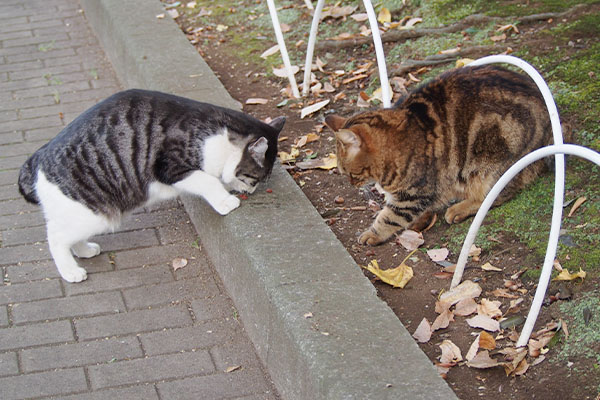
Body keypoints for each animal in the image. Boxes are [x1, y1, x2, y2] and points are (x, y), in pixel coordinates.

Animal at [18, 90, 286, 284]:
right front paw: (226, 200)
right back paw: (70, 271)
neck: (219, 135)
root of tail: (37, 159)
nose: (251, 192)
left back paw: (84, 250)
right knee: (56, 238)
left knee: (65, 234)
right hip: (92, 214)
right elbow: (206, 179)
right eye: (254, 179)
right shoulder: (169, 168)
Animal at [326, 65, 556, 245]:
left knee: (496, 196)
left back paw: (459, 209)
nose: (351, 184)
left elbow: (390, 217)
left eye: (349, 173)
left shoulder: (413, 193)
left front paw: (373, 234)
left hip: (493, 168)